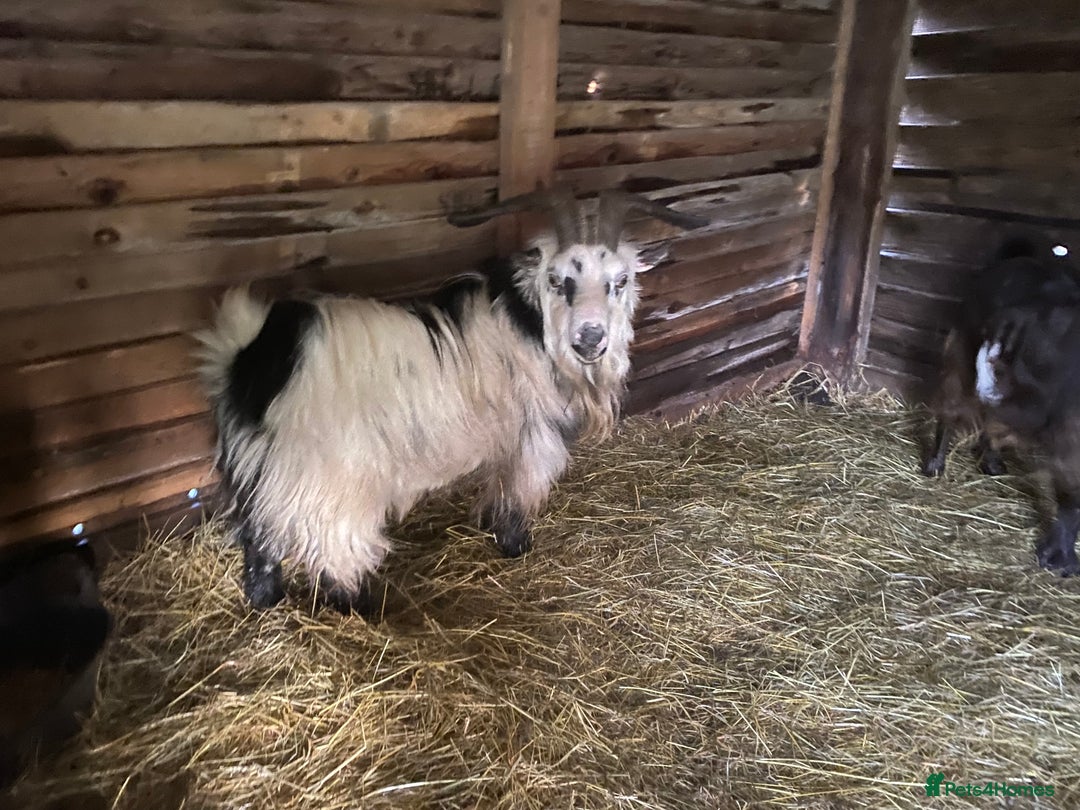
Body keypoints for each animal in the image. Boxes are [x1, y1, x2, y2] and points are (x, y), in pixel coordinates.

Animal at [196, 188, 708, 613]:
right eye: (557, 279)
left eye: (620, 280)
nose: (590, 339)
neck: (530, 325)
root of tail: (253, 352)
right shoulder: (531, 437)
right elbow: (516, 493)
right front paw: (515, 545)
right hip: (331, 481)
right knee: (334, 553)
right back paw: (361, 610)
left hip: (260, 471)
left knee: (258, 542)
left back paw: (265, 603)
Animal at [921, 235, 1080, 576]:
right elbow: (1073, 497)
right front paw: (1058, 557)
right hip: (960, 355)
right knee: (952, 410)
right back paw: (935, 463)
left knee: (991, 419)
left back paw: (990, 461)